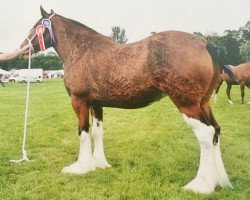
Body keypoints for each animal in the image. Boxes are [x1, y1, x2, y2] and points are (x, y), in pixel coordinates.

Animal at [20, 6, 232, 194]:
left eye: (36, 26)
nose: (22, 48)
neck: (82, 50)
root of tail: (204, 43)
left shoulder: (79, 102)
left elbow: (83, 132)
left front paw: (81, 167)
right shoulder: (96, 104)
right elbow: (97, 132)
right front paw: (99, 163)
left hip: (186, 103)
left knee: (206, 134)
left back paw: (201, 185)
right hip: (203, 103)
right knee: (216, 131)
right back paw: (219, 181)